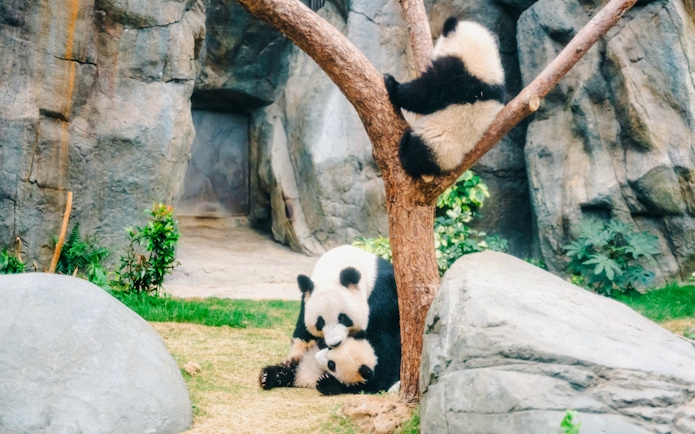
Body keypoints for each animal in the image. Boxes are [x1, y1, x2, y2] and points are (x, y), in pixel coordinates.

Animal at [286, 245, 400, 394]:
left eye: (343, 317)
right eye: (320, 322)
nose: (335, 343)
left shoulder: (384, 300)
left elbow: (385, 348)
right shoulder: (305, 302)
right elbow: (303, 336)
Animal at [383, 17, 505, 178]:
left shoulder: (452, 75)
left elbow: (422, 95)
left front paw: (391, 84)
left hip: (438, 143)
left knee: (418, 154)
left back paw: (405, 148)